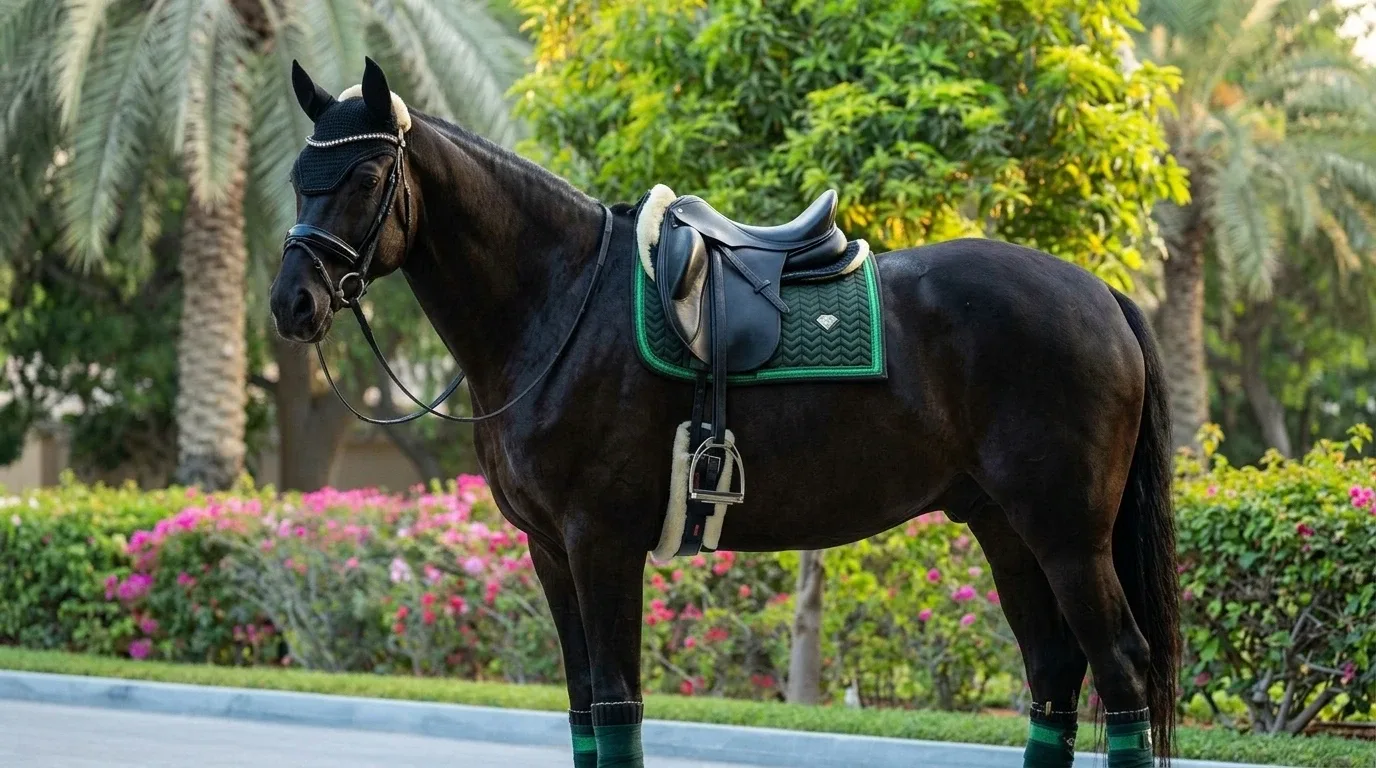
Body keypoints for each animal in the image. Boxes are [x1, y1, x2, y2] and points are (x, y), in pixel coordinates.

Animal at [270, 59, 1179, 768]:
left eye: (362, 178)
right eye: (296, 180)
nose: (291, 303)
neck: (558, 302)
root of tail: (1100, 293)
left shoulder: (601, 543)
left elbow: (617, 709)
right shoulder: (550, 551)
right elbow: (582, 709)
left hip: (1067, 534)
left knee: (1121, 667)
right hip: (1003, 527)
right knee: (1054, 674)